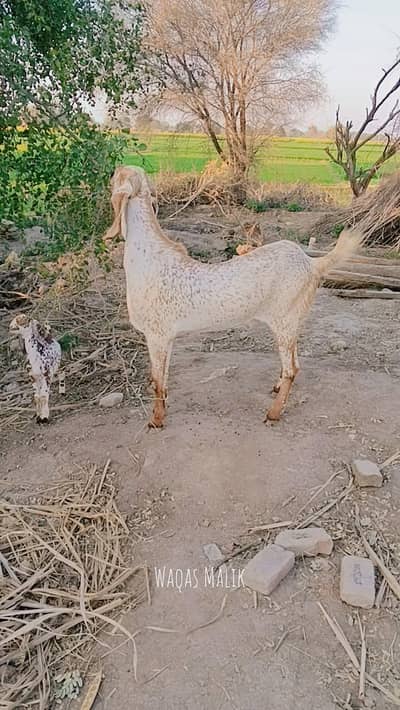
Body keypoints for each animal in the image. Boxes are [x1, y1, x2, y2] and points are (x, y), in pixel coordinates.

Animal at [104, 165, 363, 428]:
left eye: (117, 174)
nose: (110, 174)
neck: (147, 255)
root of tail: (312, 263)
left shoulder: (156, 334)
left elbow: (157, 382)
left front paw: (156, 420)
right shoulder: (166, 337)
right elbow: (163, 379)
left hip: (284, 321)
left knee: (291, 369)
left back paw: (273, 413)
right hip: (292, 322)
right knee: (295, 364)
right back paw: (277, 388)